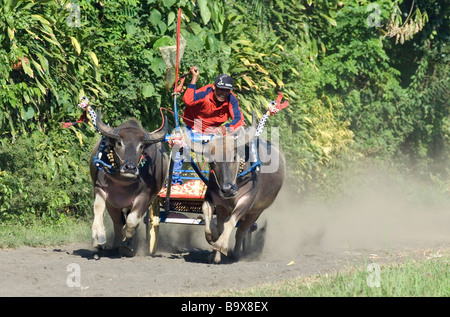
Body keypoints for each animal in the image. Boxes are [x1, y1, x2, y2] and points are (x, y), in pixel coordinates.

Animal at [89, 109, 169, 254]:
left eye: (141, 146)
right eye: (119, 143)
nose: (130, 167)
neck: (123, 183)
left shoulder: (144, 197)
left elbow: (132, 221)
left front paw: (127, 236)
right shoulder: (100, 189)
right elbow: (98, 207)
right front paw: (98, 236)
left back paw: (127, 243)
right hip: (113, 204)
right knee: (117, 221)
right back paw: (115, 245)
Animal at [185, 115, 284, 262]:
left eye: (234, 157)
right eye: (212, 161)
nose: (227, 189)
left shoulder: (246, 200)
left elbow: (230, 223)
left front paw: (221, 245)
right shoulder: (213, 197)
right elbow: (208, 217)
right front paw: (213, 238)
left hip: (256, 211)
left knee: (241, 231)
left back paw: (236, 254)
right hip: (224, 208)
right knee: (222, 223)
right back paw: (214, 256)